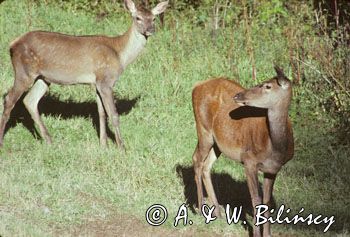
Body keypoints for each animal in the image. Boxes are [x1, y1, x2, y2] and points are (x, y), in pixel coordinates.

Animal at [0, 0, 168, 149]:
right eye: (138, 17)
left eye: (153, 18)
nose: (150, 29)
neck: (120, 55)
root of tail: (12, 44)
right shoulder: (106, 80)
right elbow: (113, 114)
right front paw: (122, 147)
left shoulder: (97, 83)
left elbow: (101, 113)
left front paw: (103, 145)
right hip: (24, 71)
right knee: (9, 99)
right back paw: (2, 141)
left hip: (43, 77)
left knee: (30, 100)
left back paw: (49, 140)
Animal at [193, 66, 294, 237]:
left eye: (267, 86)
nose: (238, 95)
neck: (275, 148)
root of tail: (196, 86)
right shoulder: (249, 160)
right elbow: (256, 199)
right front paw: (256, 233)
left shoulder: (273, 169)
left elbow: (267, 201)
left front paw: (267, 234)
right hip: (203, 129)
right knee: (196, 159)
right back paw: (200, 209)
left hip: (217, 143)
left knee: (206, 165)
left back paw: (218, 213)